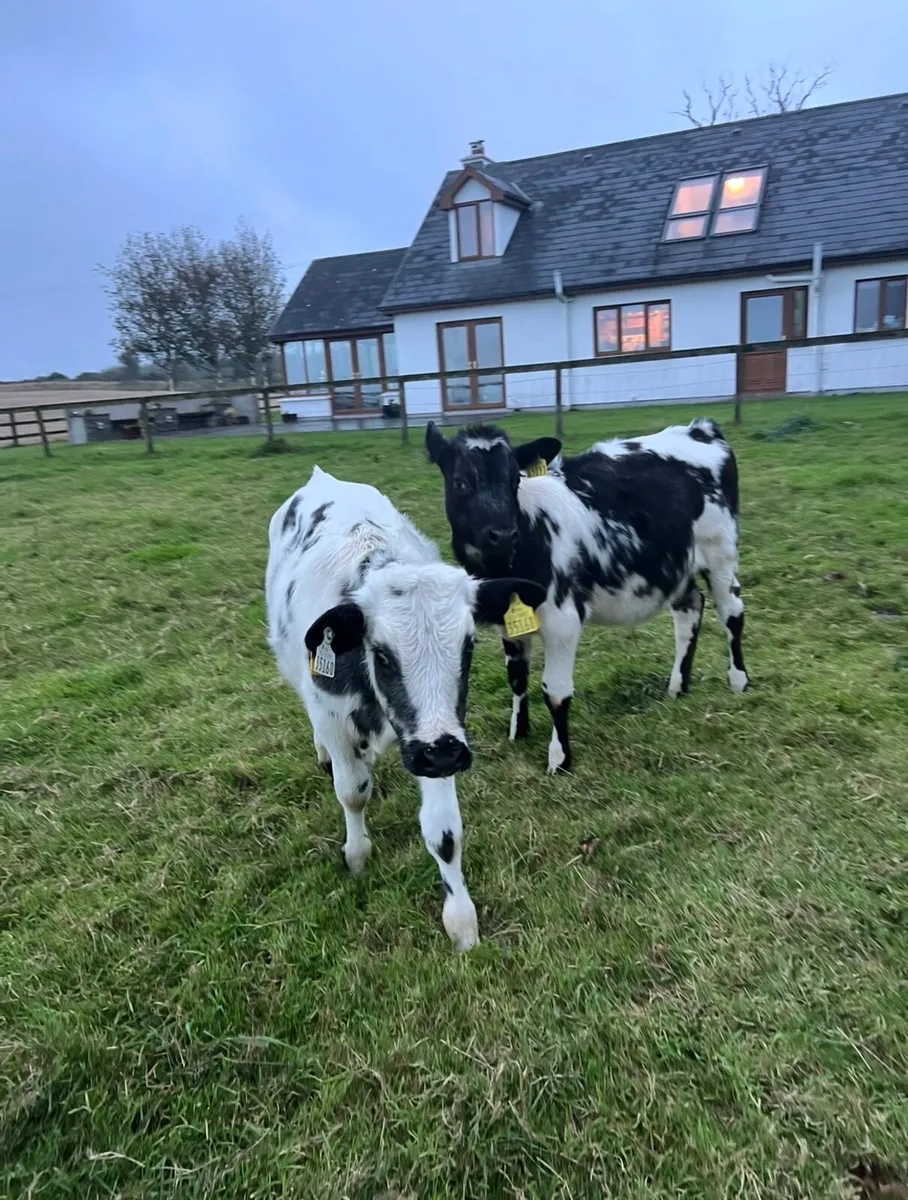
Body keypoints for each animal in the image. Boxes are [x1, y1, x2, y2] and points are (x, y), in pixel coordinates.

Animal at [265, 466, 545, 950]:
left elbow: (444, 830)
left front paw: (460, 919)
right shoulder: (335, 718)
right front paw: (357, 855)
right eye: (381, 654)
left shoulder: (437, 740)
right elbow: (352, 791)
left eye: (469, 646)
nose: (444, 754)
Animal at [425, 417, 749, 775]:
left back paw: (738, 680)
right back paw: (677, 687)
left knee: (732, 612)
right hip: (676, 567)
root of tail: (700, 428)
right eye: (460, 482)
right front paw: (518, 731)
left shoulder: (563, 618)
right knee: (689, 609)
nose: (504, 534)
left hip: (720, 553)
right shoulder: (507, 620)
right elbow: (517, 678)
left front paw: (560, 759)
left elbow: (555, 691)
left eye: (515, 480)